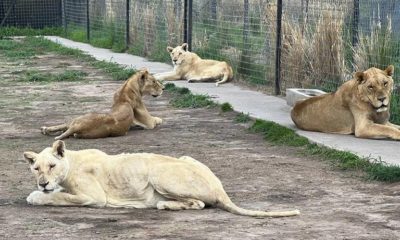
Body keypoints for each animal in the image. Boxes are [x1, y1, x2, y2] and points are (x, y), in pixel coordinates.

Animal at [24, 141, 300, 218]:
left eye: (52, 166)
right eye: (36, 168)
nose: (42, 182)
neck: (70, 162)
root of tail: (220, 189)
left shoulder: (94, 197)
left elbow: (59, 197)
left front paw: (37, 195)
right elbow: (58, 194)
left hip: (158, 173)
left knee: (199, 203)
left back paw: (163, 204)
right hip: (185, 156)